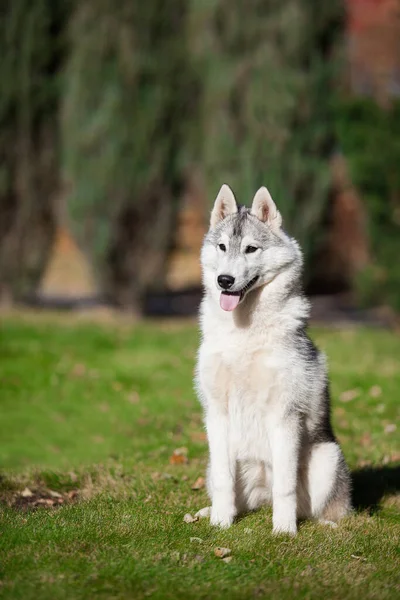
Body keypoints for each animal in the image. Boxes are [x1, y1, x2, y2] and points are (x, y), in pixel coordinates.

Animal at [195, 184, 352, 536]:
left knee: (323, 508)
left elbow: (285, 485)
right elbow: (224, 483)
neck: (244, 332)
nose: (224, 280)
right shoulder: (217, 414)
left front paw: (283, 530)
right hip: (215, 463)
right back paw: (207, 512)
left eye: (251, 249)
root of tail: (261, 498)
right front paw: (220, 523)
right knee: (234, 494)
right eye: (222, 247)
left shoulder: (284, 415)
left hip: (327, 458)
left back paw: (324, 524)